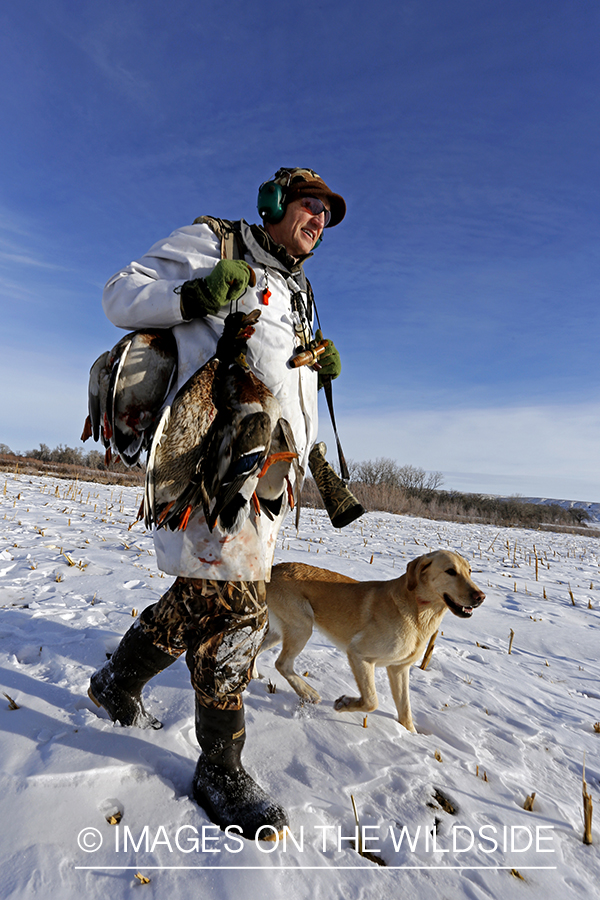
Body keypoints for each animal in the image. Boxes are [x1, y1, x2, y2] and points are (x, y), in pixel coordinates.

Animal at [256, 548, 482, 732]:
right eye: (450, 571)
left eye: (470, 571)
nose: (480, 596)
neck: (420, 611)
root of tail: (274, 569)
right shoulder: (359, 654)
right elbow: (372, 701)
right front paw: (344, 703)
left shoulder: (398, 669)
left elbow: (405, 711)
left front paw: (411, 736)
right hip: (302, 627)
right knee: (282, 664)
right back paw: (308, 693)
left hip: (279, 633)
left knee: (257, 651)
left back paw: (255, 674)